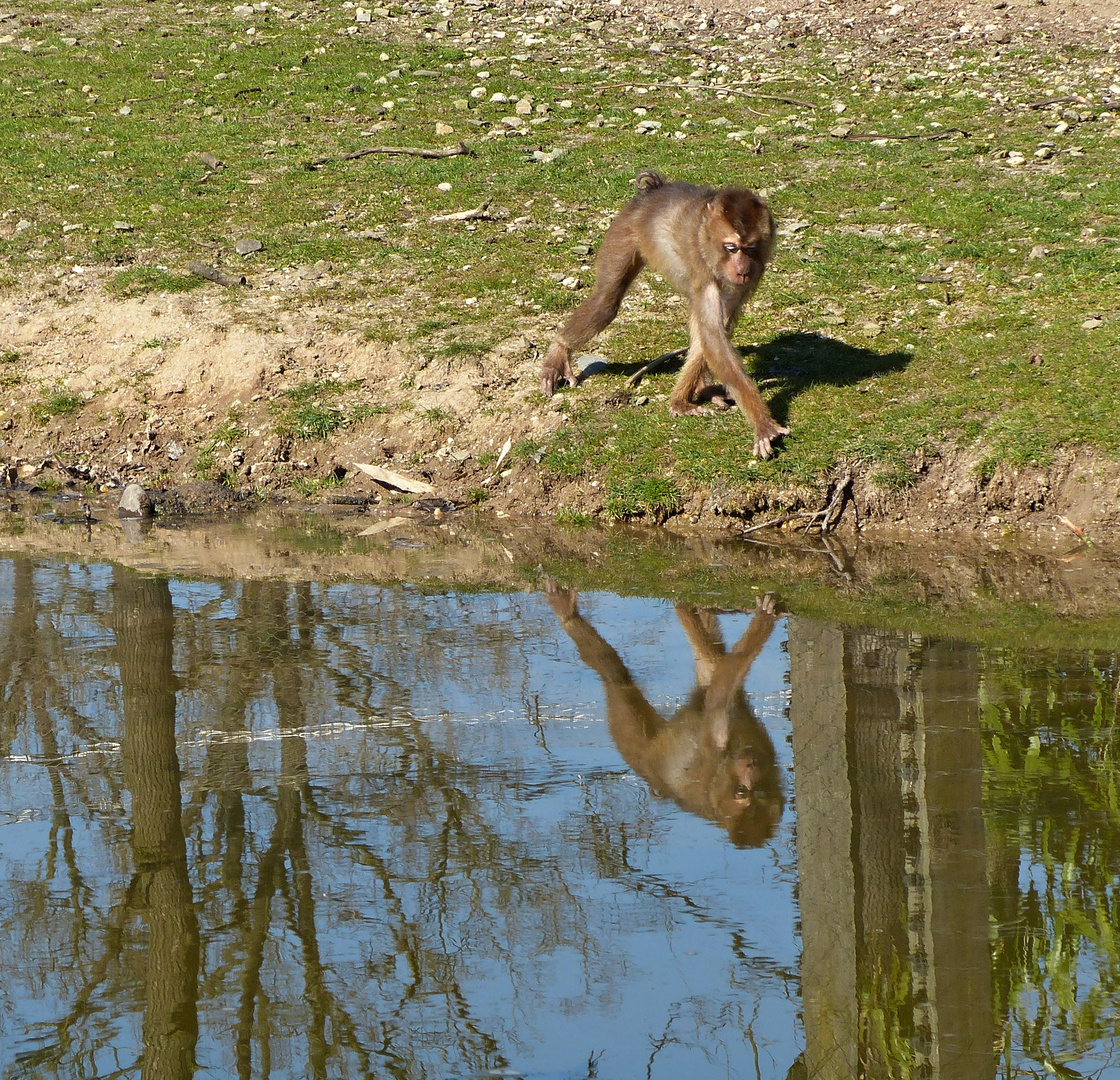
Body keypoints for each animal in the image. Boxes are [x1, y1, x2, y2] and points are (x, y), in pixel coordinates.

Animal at [539, 171, 788, 457]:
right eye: (731, 248)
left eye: (750, 248)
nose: (743, 269)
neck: (706, 239)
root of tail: (653, 190)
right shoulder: (702, 267)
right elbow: (714, 337)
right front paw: (762, 422)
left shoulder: (748, 278)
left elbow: (718, 329)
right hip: (626, 229)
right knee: (606, 302)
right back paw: (560, 349)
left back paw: (698, 390)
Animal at [546, 578, 784, 846]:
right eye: (741, 793)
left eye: (757, 796)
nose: (750, 769)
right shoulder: (716, 742)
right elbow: (719, 694)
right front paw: (763, 620)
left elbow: (717, 676)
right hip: (637, 746)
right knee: (618, 680)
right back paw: (570, 618)